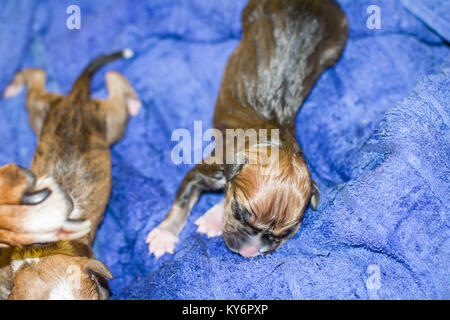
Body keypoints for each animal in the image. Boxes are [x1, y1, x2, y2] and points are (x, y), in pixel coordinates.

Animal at [0, 48, 141, 298]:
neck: (34, 258)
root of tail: (77, 99)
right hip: (43, 110)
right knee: (37, 78)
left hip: (110, 122)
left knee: (114, 82)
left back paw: (133, 101)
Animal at [148, 0, 348, 258]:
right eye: (240, 212)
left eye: (285, 233)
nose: (250, 252)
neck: (274, 139)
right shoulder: (207, 170)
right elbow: (182, 203)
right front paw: (164, 235)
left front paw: (212, 219)